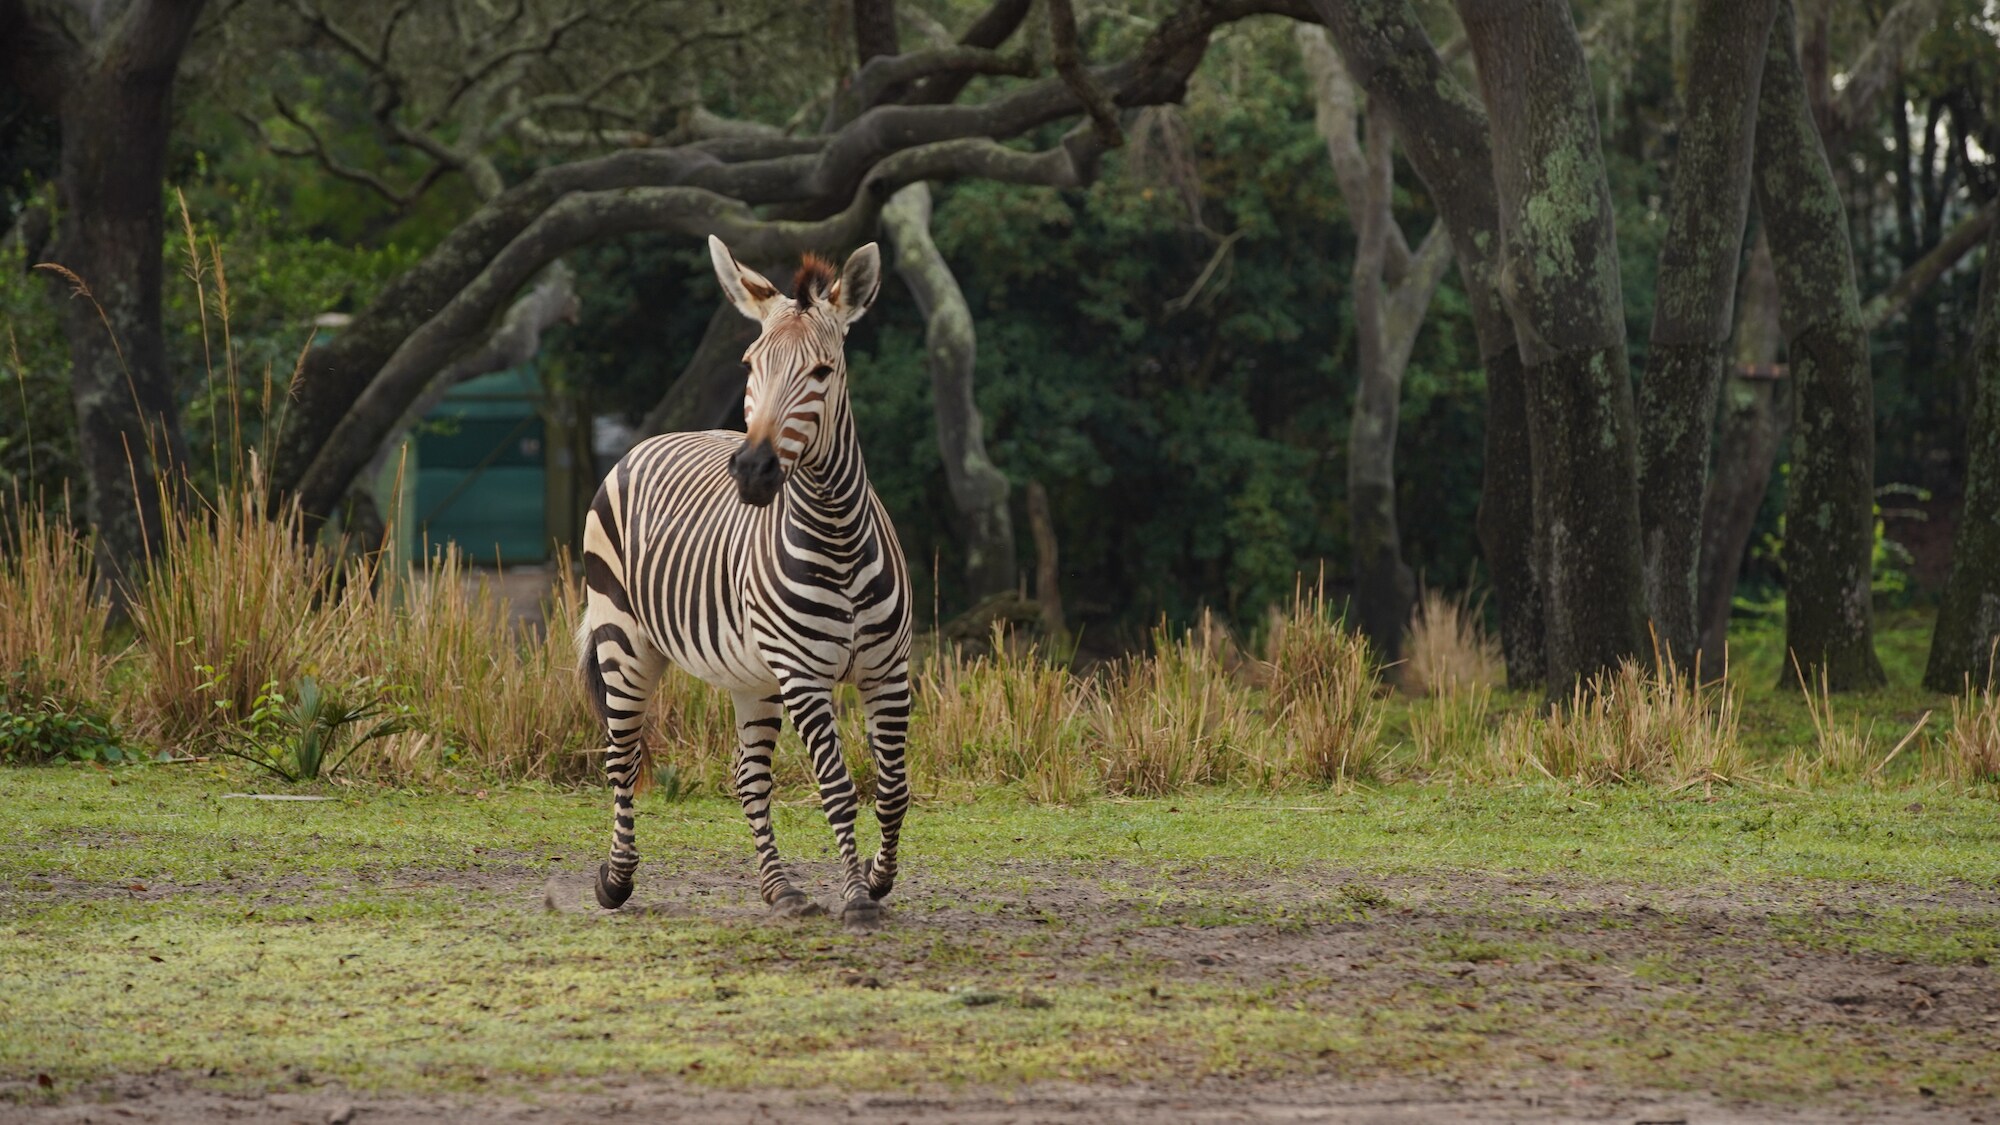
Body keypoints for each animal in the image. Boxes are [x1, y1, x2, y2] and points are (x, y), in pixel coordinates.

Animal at [580, 234, 916, 928]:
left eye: (823, 372)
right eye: (750, 364)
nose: (753, 470)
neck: (839, 536)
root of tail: (651, 439)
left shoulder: (887, 671)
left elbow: (893, 790)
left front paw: (876, 881)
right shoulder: (805, 676)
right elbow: (838, 788)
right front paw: (857, 900)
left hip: (753, 676)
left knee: (747, 775)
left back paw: (779, 889)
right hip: (622, 642)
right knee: (622, 758)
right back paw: (616, 881)